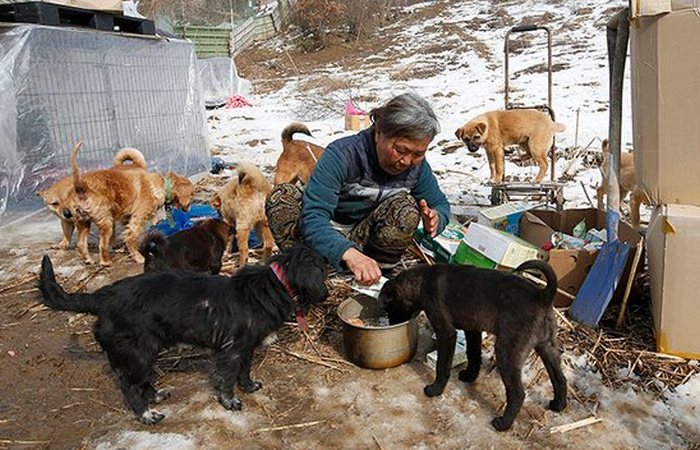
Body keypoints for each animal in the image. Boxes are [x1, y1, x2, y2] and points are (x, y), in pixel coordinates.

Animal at [39, 244, 330, 424]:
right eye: (323, 271)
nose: (327, 295)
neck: (273, 284)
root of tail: (102, 295)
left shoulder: (245, 348)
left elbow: (244, 372)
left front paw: (248, 387)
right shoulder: (230, 351)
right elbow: (227, 380)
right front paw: (230, 401)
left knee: (140, 382)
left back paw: (155, 396)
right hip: (139, 352)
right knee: (130, 386)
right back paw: (147, 414)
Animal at [378, 260, 568, 432]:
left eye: (391, 309)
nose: (392, 324)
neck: (423, 281)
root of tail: (543, 296)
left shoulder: (446, 332)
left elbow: (442, 365)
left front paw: (436, 389)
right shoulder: (472, 330)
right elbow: (473, 354)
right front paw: (470, 376)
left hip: (507, 351)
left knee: (517, 393)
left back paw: (503, 424)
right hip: (547, 346)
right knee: (560, 378)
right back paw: (558, 405)